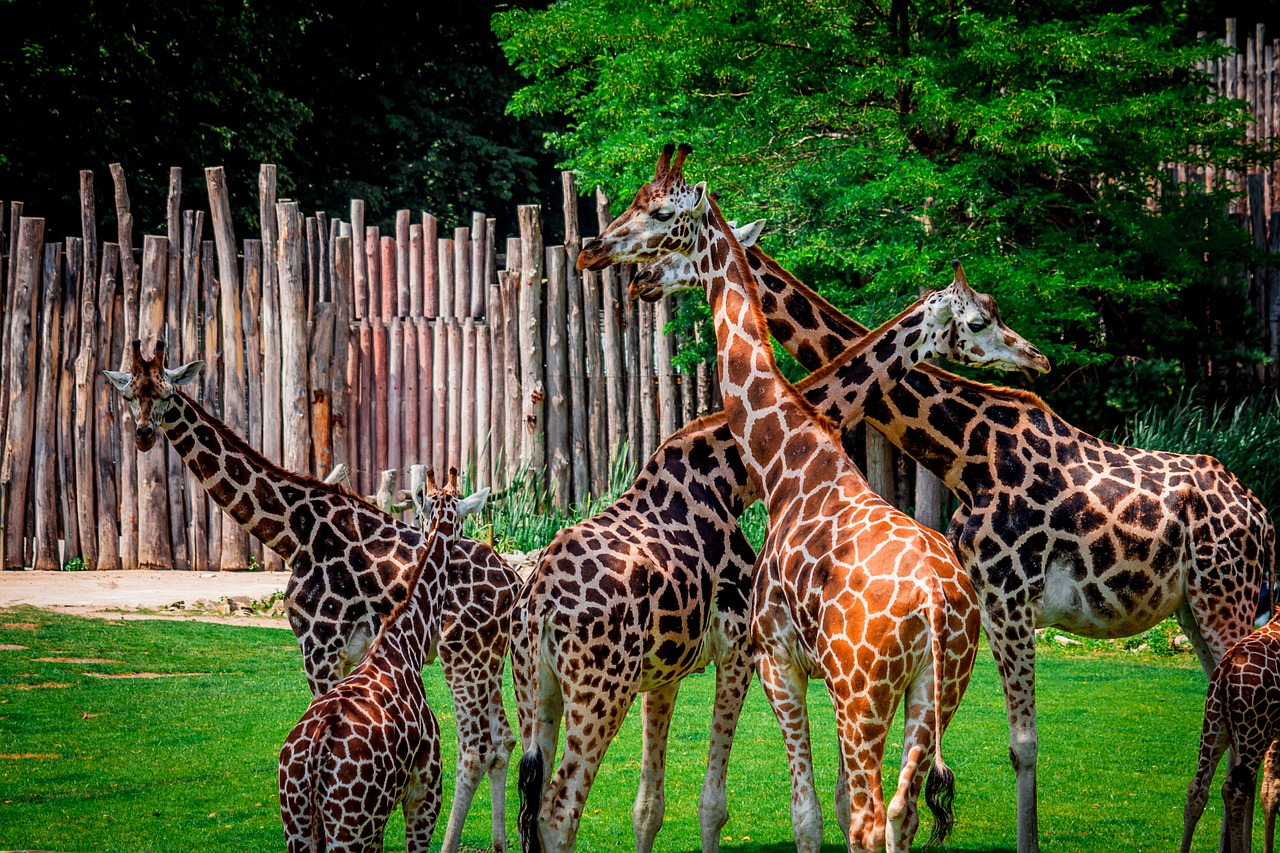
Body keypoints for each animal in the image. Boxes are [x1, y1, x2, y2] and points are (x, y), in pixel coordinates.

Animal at [581, 144, 1049, 850]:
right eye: (981, 317)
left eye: (660, 212)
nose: (594, 250)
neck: (783, 459)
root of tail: (937, 605)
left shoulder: (776, 658)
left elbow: (807, 815)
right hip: (935, 688)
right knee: (898, 811)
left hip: (865, 693)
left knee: (869, 816)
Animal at [627, 227, 1269, 850]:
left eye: (668, 242)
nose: (640, 279)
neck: (965, 451)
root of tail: (1259, 513)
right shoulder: (980, 608)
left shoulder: (1008, 596)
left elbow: (1021, 746)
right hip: (1194, 610)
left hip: (1226, 600)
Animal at [1177, 617, 1280, 850]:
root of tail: (1226, 672)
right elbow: (1272, 788)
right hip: (1254, 732)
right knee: (1236, 791)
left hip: (1215, 724)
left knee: (1197, 788)